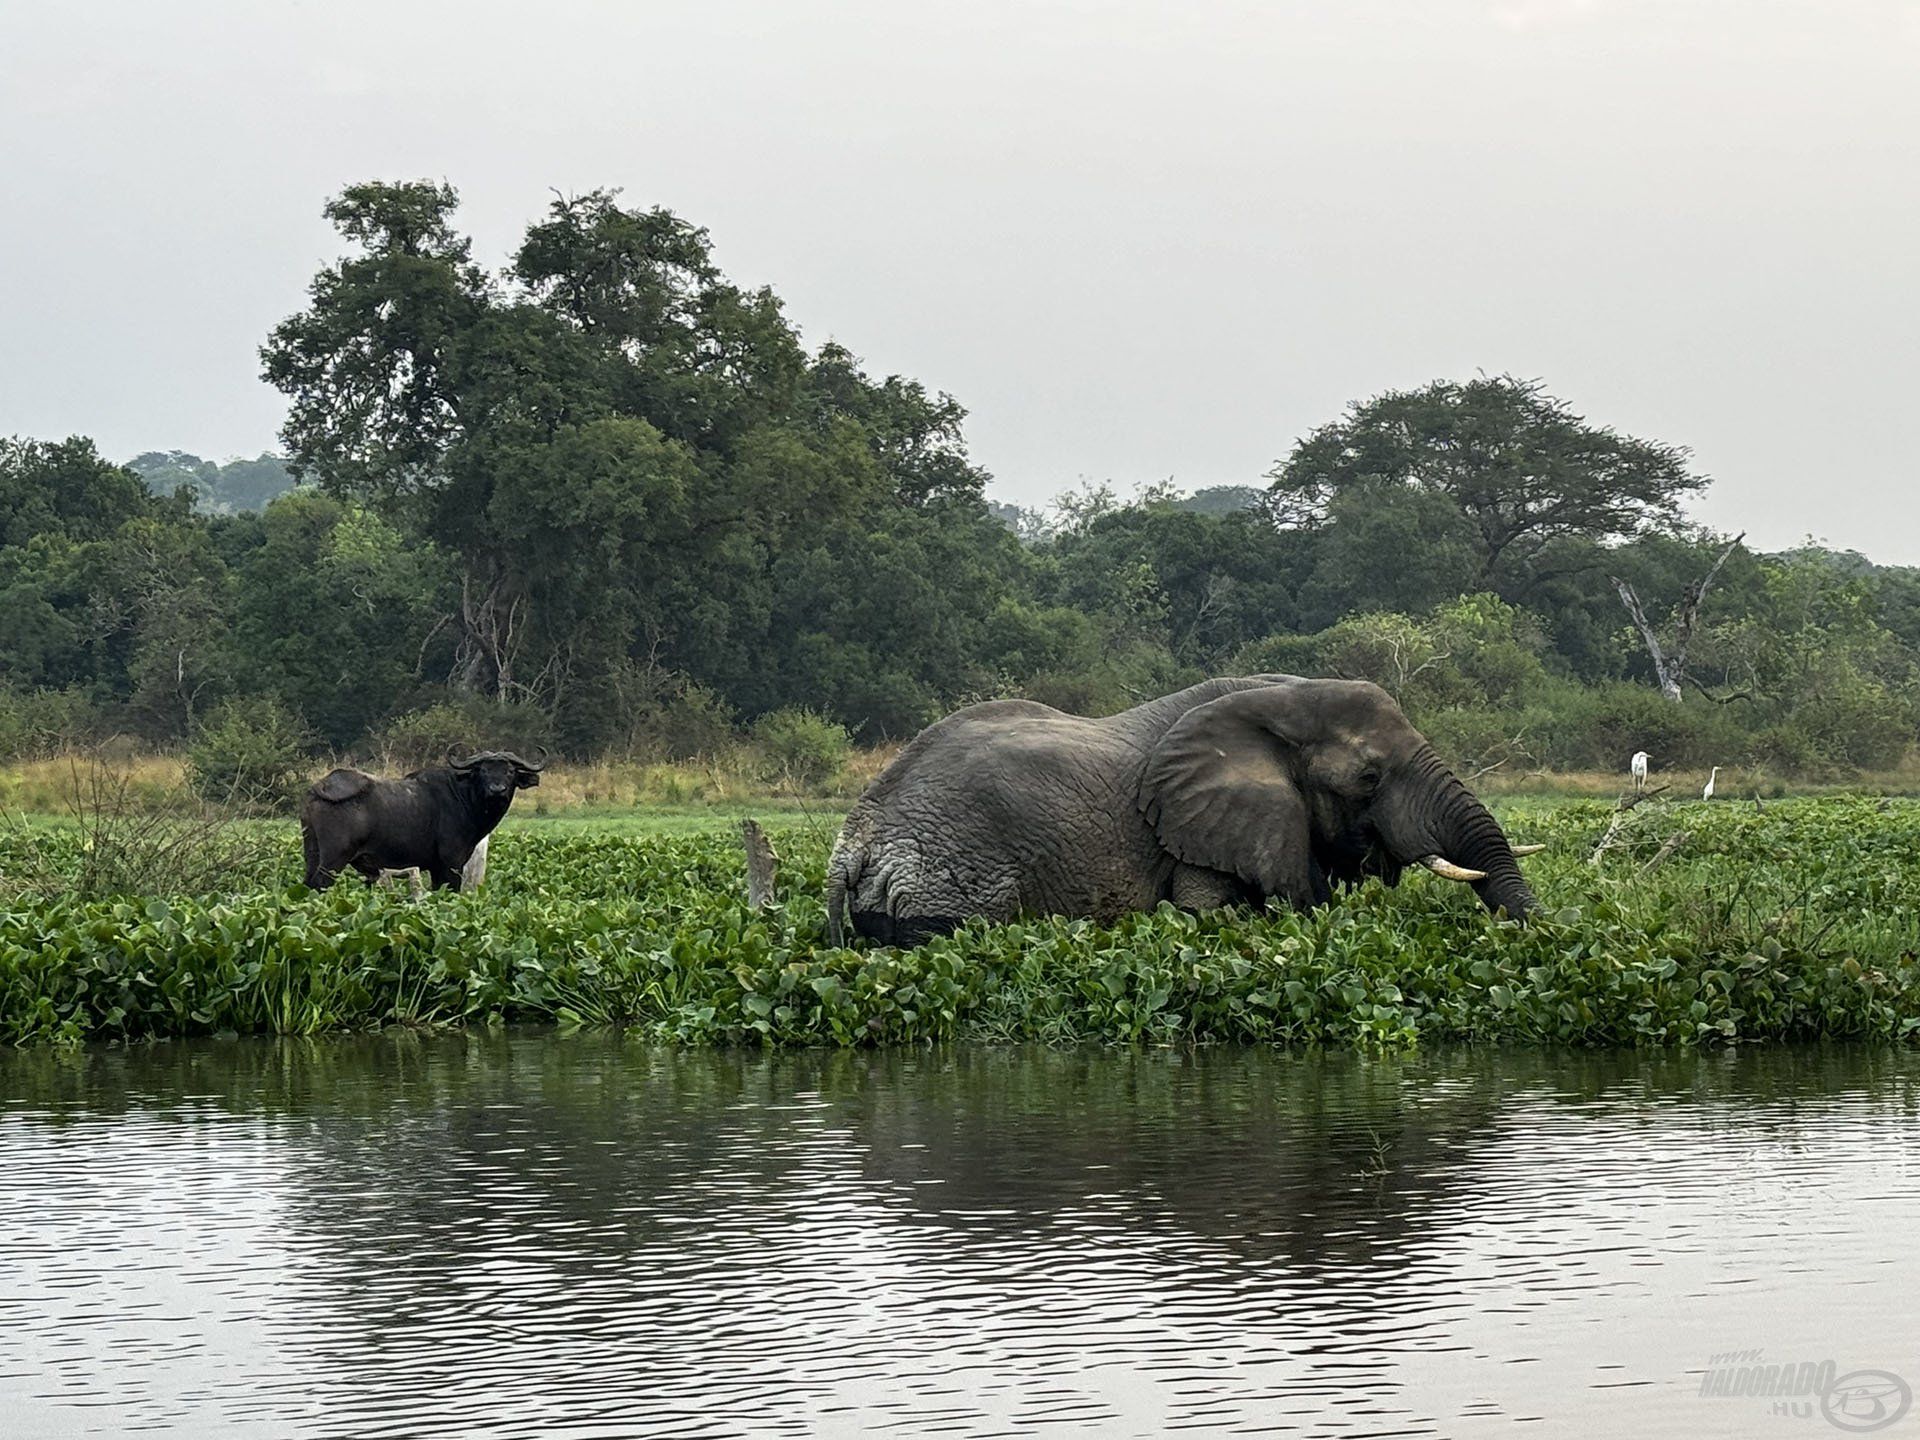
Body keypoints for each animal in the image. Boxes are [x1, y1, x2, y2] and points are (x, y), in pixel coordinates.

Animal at [299, 756, 545, 890]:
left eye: (510, 771)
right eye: (483, 770)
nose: (497, 790)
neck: (463, 799)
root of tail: (321, 786)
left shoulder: (434, 868)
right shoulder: (451, 865)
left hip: (312, 851)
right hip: (334, 859)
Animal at [821, 675, 1528, 948]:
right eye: (1369, 777)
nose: (1537, 933)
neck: (1286, 697)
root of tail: (856, 835)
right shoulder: (1199, 834)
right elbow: (1207, 915)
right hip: (952, 881)